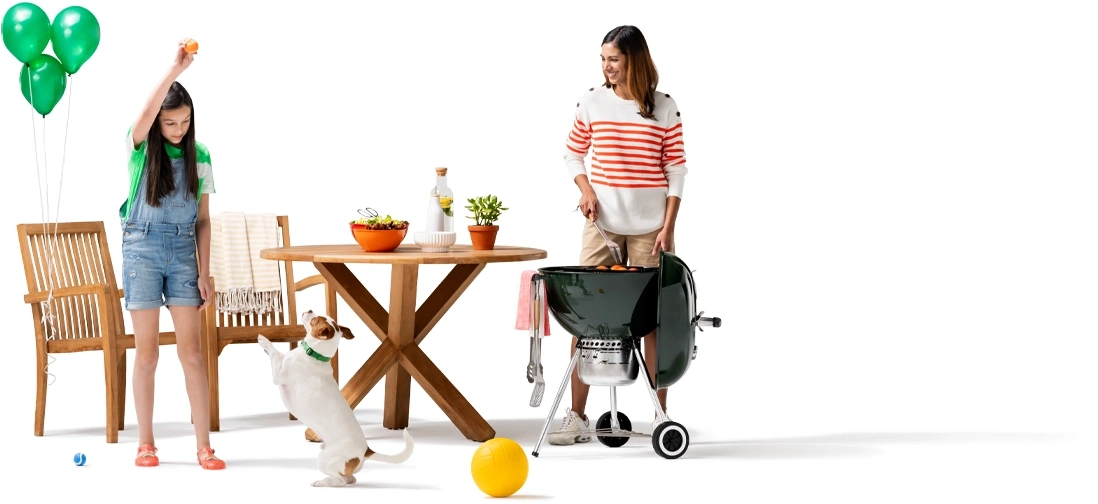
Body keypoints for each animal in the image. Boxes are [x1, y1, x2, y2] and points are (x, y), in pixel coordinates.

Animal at [256, 309, 415, 487]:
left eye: (315, 319)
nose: (309, 310)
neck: (315, 355)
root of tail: (366, 451)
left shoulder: (279, 373)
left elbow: (275, 353)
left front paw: (263, 339)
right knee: (351, 479)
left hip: (324, 460)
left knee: (341, 481)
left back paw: (321, 482)